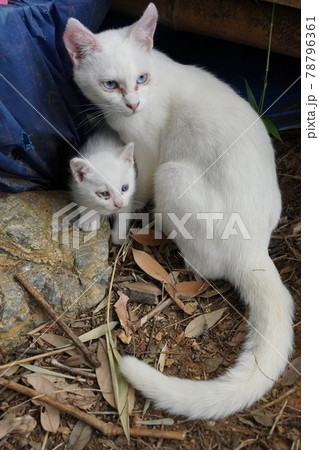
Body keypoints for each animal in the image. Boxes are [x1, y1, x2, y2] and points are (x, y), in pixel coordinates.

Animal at [63, 3, 296, 420]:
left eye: (142, 78)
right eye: (110, 84)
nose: (132, 104)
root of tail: (253, 250)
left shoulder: (148, 156)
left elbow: (133, 188)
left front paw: (117, 211)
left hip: (172, 174)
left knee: (202, 265)